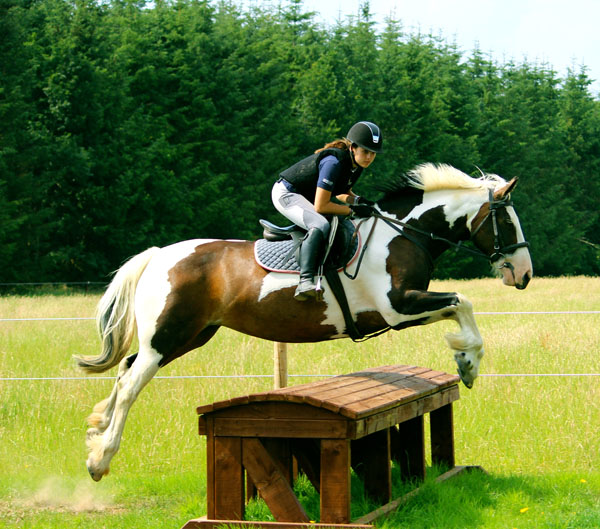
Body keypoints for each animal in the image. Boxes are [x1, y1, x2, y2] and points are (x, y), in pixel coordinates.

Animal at [77, 163, 532, 480]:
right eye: (508, 221)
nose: (524, 275)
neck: (403, 234)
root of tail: (158, 255)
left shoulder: (404, 307)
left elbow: (460, 305)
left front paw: (466, 362)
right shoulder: (398, 308)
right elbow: (463, 303)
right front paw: (467, 364)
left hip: (188, 336)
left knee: (125, 370)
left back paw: (97, 430)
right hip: (168, 335)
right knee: (132, 383)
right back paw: (101, 458)